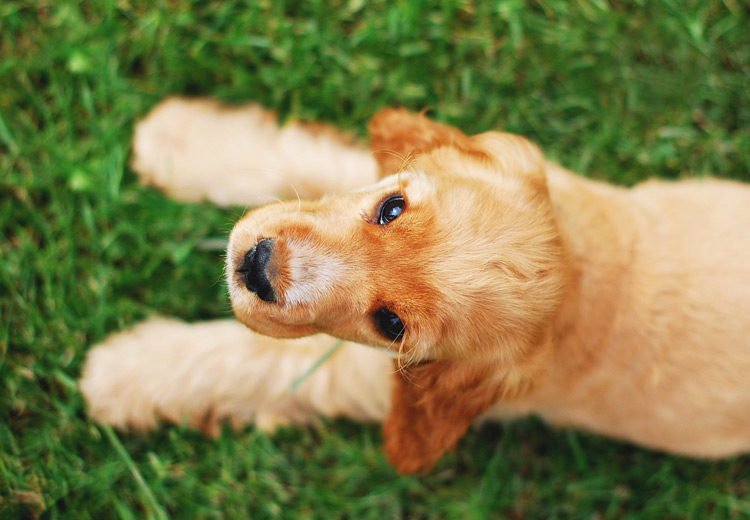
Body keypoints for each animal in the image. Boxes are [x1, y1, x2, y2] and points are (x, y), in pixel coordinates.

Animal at [81, 98, 750, 476]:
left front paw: (122, 375)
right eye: (391, 208)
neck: (584, 279)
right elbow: (302, 160)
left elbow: (256, 359)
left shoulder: (368, 375)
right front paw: (178, 139)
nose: (255, 267)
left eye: (392, 324)